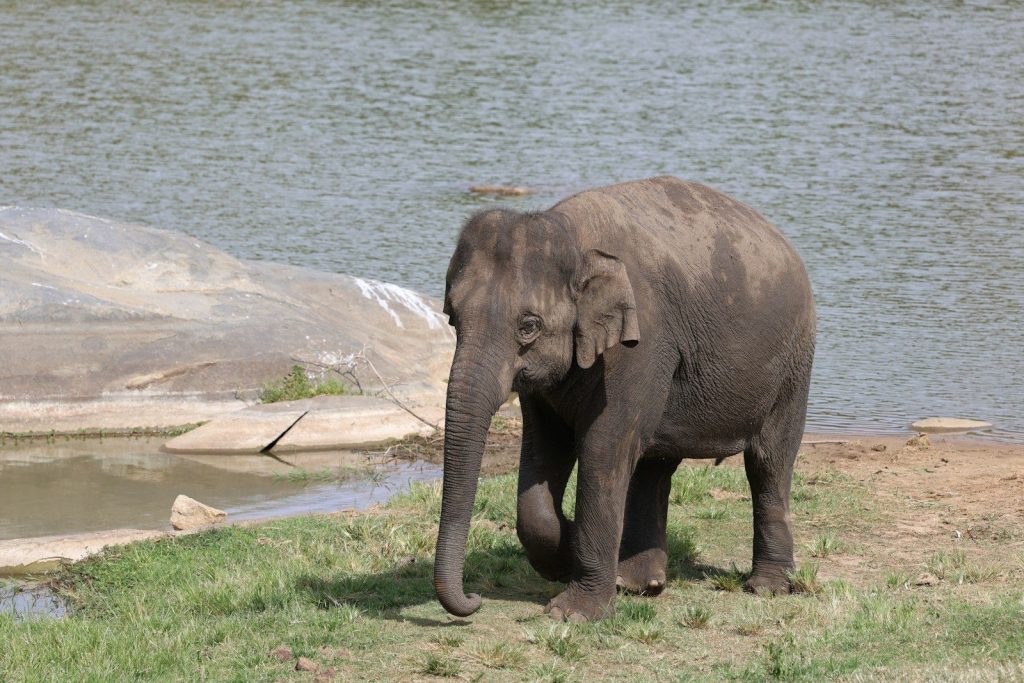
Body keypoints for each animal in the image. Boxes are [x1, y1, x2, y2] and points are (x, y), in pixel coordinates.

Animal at [434, 176, 816, 622]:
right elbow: (545, 453)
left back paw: (767, 588)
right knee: (654, 465)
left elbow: (604, 448)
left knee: (769, 463)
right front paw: (565, 550)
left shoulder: (641, 343)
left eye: (529, 327)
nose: (474, 600)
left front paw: (575, 612)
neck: (571, 233)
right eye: (452, 318)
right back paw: (638, 584)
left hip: (793, 365)